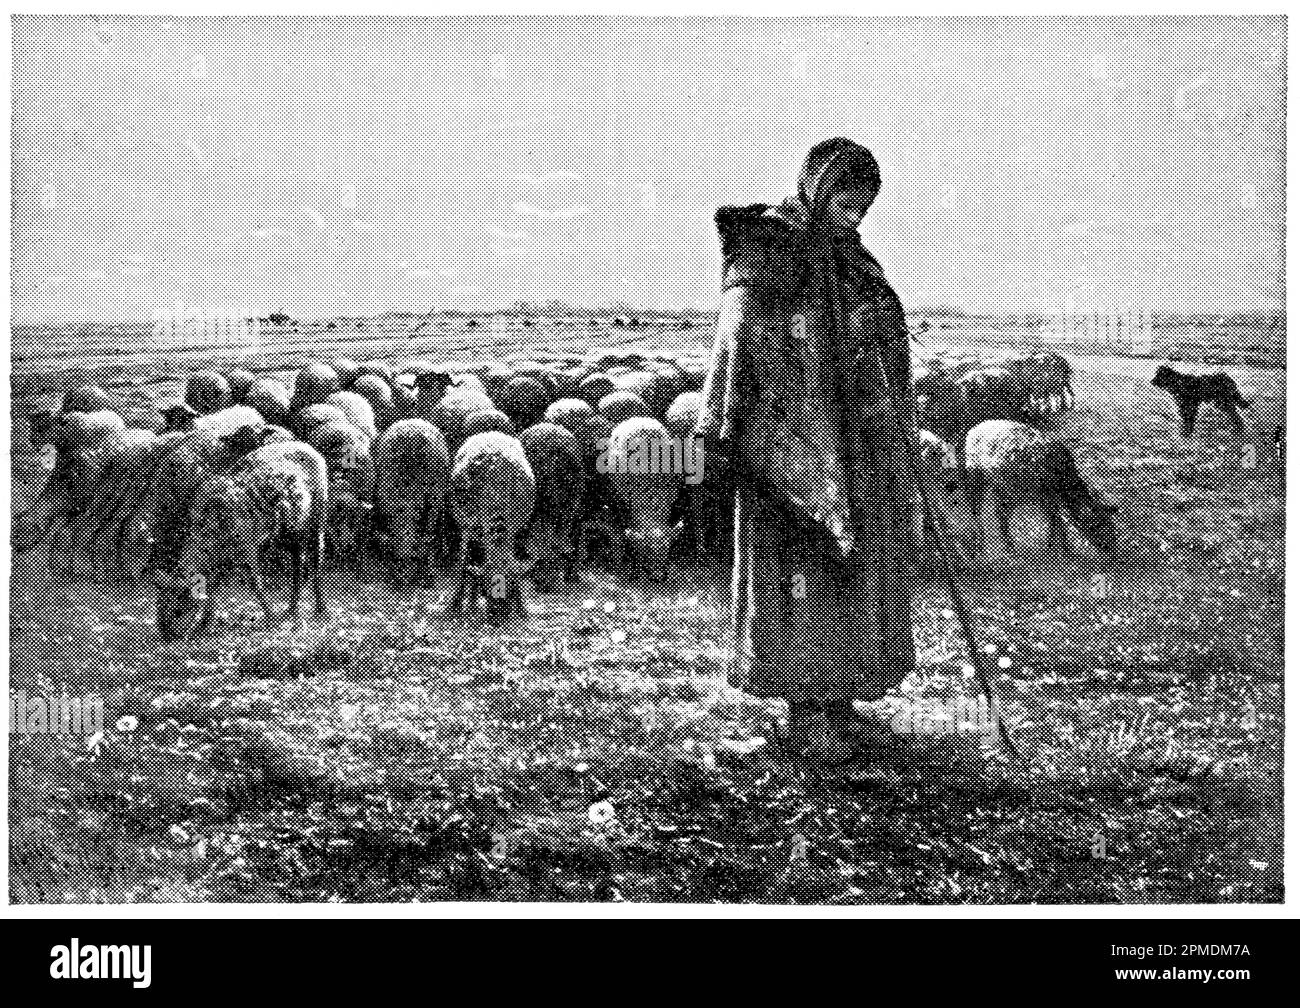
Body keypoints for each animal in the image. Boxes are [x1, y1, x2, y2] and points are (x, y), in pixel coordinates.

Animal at [156, 442, 330, 639]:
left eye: (178, 609)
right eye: (159, 606)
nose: (166, 634)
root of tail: (315, 453)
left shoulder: (249, 550)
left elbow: (256, 584)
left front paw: (271, 618)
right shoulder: (223, 560)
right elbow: (212, 589)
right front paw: (205, 624)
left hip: (316, 527)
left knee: (315, 562)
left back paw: (320, 610)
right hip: (290, 536)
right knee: (297, 567)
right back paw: (291, 609)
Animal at [374, 418, 454, 574]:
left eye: (414, 558)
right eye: (395, 560)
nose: (404, 576)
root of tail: (412, 420)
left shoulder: (434, 500)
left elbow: (430, 530)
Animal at [449, 434, 535, 613]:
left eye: (510, 587)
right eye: (487, 588)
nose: (498, 615)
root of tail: (491, 433)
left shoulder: (513, 529)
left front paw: (521, 606)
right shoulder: (466, 527)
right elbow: (464, 563)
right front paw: (455, 604)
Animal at [967, 418, 1118, 567]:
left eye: (1112, 525)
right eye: (1097, 525)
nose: (1111, 549)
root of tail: (975, 428)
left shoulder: (1048, 498)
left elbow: (1056, 520)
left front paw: (1061, 549)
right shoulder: (1047, 496)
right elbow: (1056, 521)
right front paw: (1060, 551)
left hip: (1004, 487)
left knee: (1000, 513)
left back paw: (1007, 546)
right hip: (976, 475)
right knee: (977, 509)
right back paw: (983, 543)